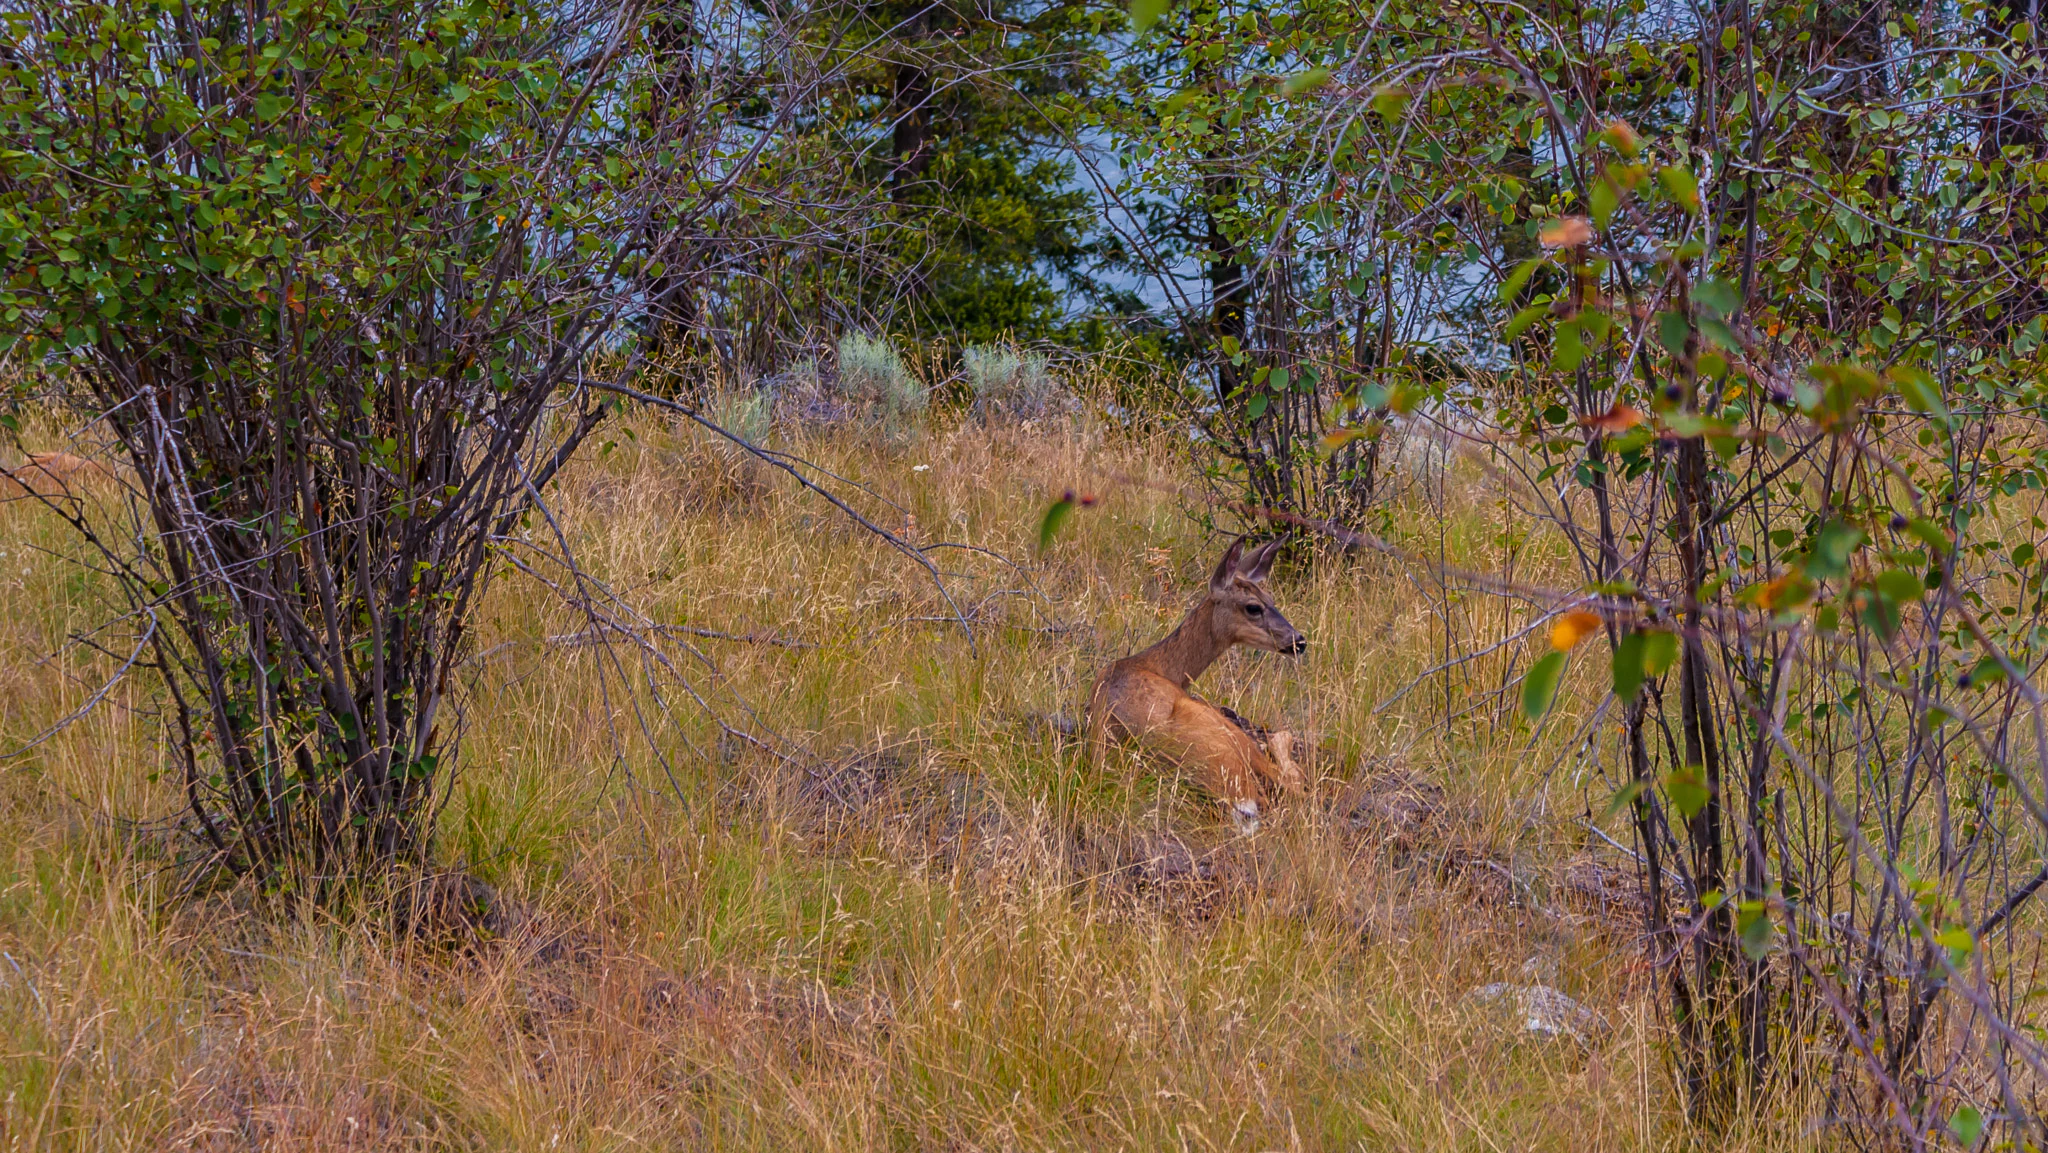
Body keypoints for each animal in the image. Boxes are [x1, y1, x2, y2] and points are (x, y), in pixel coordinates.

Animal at [1086, 537, 1309, 831]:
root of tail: (1237, 801)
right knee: (1292, 784)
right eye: (1253, 607)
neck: (1158, 665)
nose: (1299, 641)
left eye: (1271, 599)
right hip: (1227, 735)